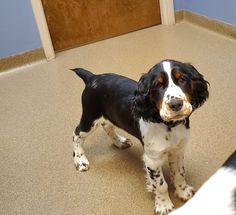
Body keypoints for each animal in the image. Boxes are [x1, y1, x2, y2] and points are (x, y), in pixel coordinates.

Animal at [71, 59, 208, 215]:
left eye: (182, 79)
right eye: (158, 85)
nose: (176, 104)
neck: (168, 126)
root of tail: (92, 77)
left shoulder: (178, 151)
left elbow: (180, 174)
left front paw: (183, 192)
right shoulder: (152, 159)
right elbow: (160, 185)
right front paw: (164, 205)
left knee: (107, 126)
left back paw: (120, 142)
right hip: (90, 117)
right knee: (76, 134)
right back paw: (80, 160)